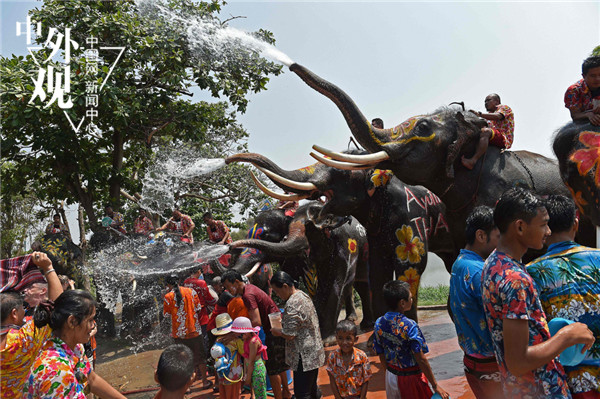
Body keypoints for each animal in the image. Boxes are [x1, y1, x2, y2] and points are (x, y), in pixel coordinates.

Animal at [209, 203, 372, 344]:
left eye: (268, 236)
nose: (229, 245)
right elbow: (310, 280)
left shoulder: (346, 243)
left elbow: (340, 281)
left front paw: (327, 340)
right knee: (361, 285)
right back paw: (363, 323)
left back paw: (360, 323)